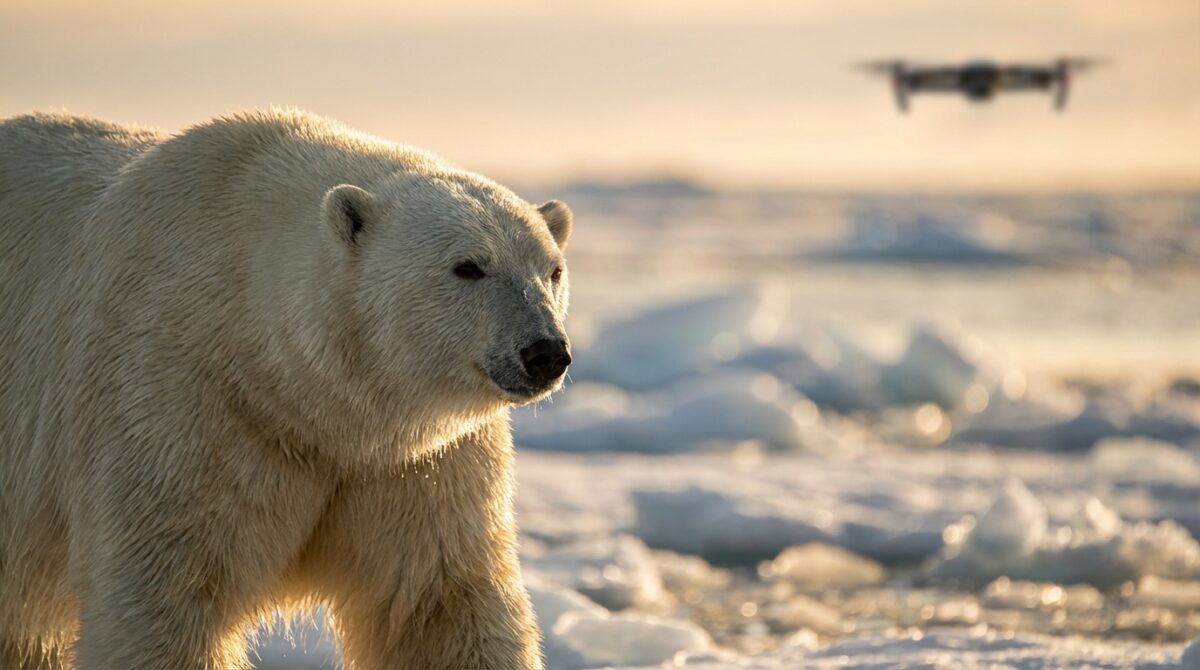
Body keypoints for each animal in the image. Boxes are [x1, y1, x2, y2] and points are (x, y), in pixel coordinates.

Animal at [0, 110, 574, 669]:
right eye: (468, 266)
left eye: (552, 271)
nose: (545, 352)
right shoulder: (181, 406)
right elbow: (167, 594)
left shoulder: (414, 464)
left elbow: (437, 603)